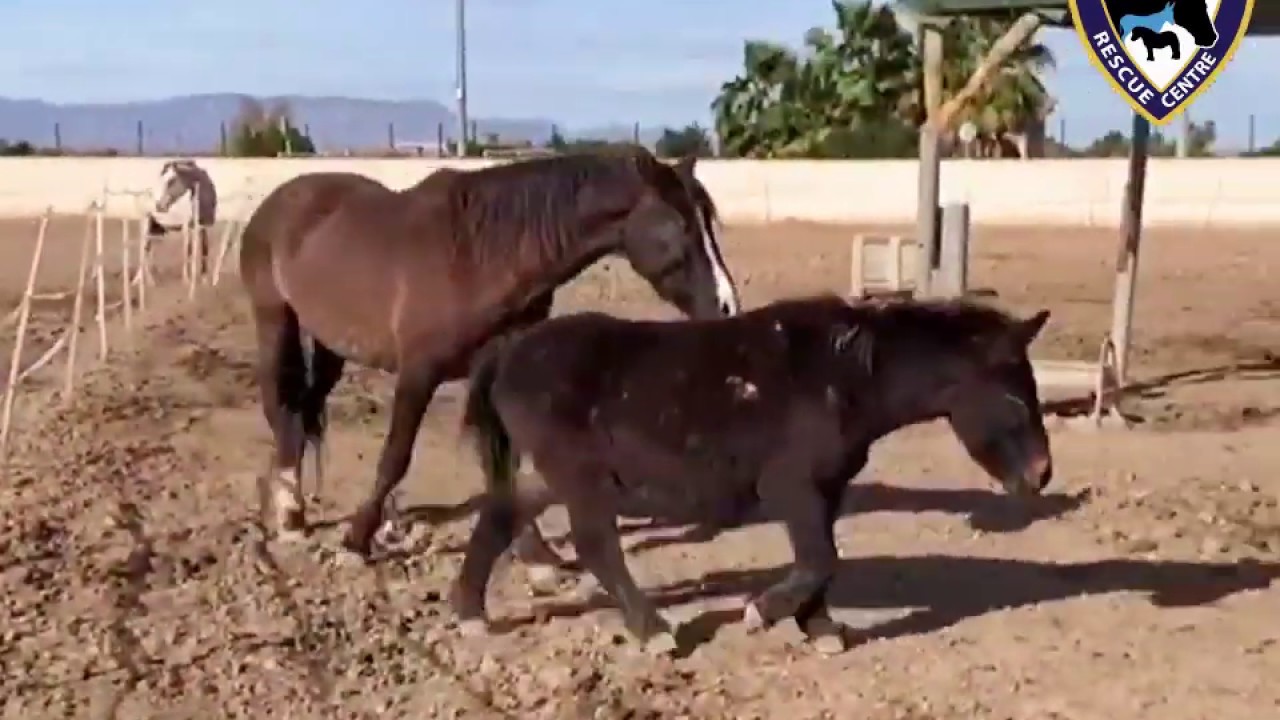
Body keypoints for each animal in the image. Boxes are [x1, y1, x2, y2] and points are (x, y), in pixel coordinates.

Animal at [238, 148, 741, 560]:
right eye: (677, 226)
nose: (727, 306)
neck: (481, 256)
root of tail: (278, 200)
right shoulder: (419, 372)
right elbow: (396, 456)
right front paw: (358, 538)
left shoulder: (494, 370)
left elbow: (504, 463)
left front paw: (535, 555)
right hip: (274, 320)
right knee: (281, 408)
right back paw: (289, 513)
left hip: (331, 343)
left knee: (304, 410)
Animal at [451, 294, 1054, 653]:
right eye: (1013, 397)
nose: (1042, 475)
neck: (845, 373)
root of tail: (509, 351)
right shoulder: (795, 487)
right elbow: (818, 559)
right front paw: (761, 613)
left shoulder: (826, 490)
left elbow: (822, 561)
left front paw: (820, 629)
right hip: (581, 477)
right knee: (595, 543)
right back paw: (652, 632)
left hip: (546, 475)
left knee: (498, 518)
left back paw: (469, 614)